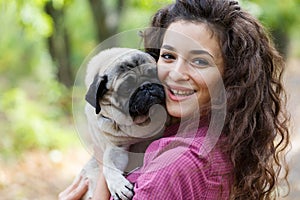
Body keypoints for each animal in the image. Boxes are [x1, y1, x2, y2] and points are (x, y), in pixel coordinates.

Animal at [81, 47, 168, 199]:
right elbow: (108, 164)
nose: (146, 86)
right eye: (126, 88)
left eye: (154, 73)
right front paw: (118, 186)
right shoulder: (116, 148)